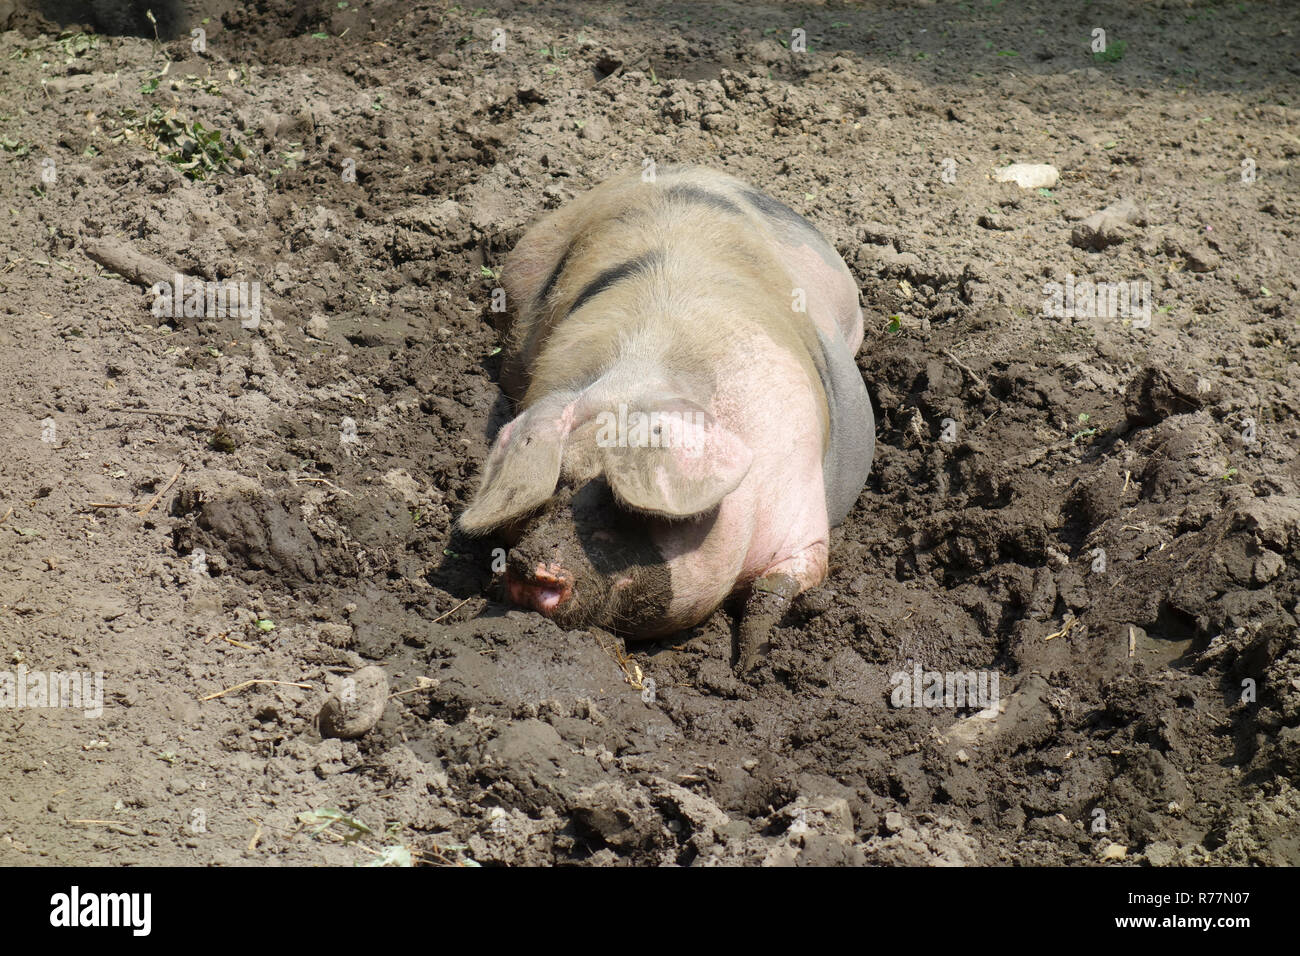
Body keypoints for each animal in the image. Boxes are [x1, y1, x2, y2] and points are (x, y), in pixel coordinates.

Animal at [457, 164, 873, 671]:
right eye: (557, 485)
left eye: (621, 504)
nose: (529, 567)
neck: (637, 381)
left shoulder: (802, 503)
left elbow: (782, 585)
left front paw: (746, 663)